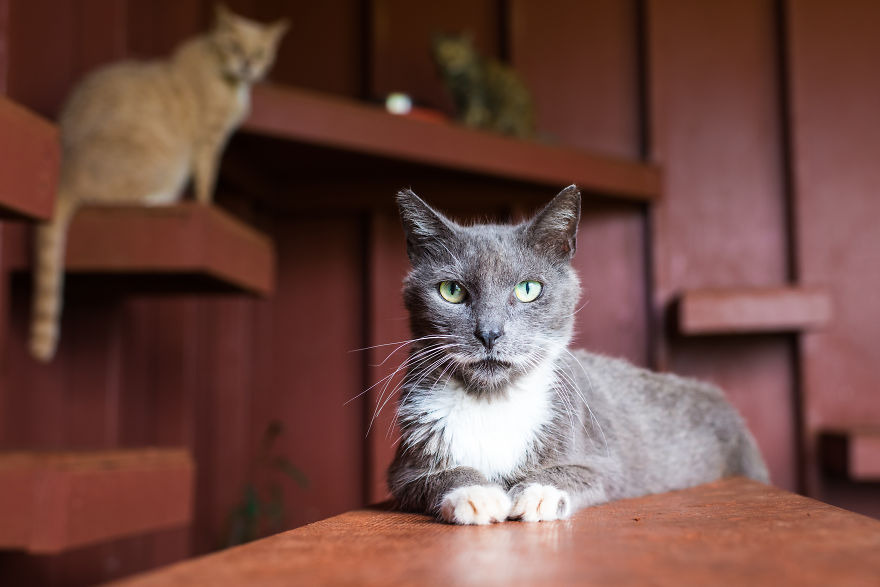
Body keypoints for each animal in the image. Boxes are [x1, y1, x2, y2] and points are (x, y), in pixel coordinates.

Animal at [28, 5, 286, 362]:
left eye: (260, 53)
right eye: (234, 47)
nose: (248, 64)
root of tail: (65, 170)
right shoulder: (208, 140)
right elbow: (207, 179)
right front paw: (206, 204)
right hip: (166, 160)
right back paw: (165, 198)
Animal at [388, 186, 768, 524]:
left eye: (528, 289)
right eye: (451, 290)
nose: (489, 333)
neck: (493, 400)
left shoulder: (605, 461)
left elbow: (579, 473)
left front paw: (538, 492)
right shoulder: (403, 470)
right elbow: (435, 476)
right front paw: (476, 494)